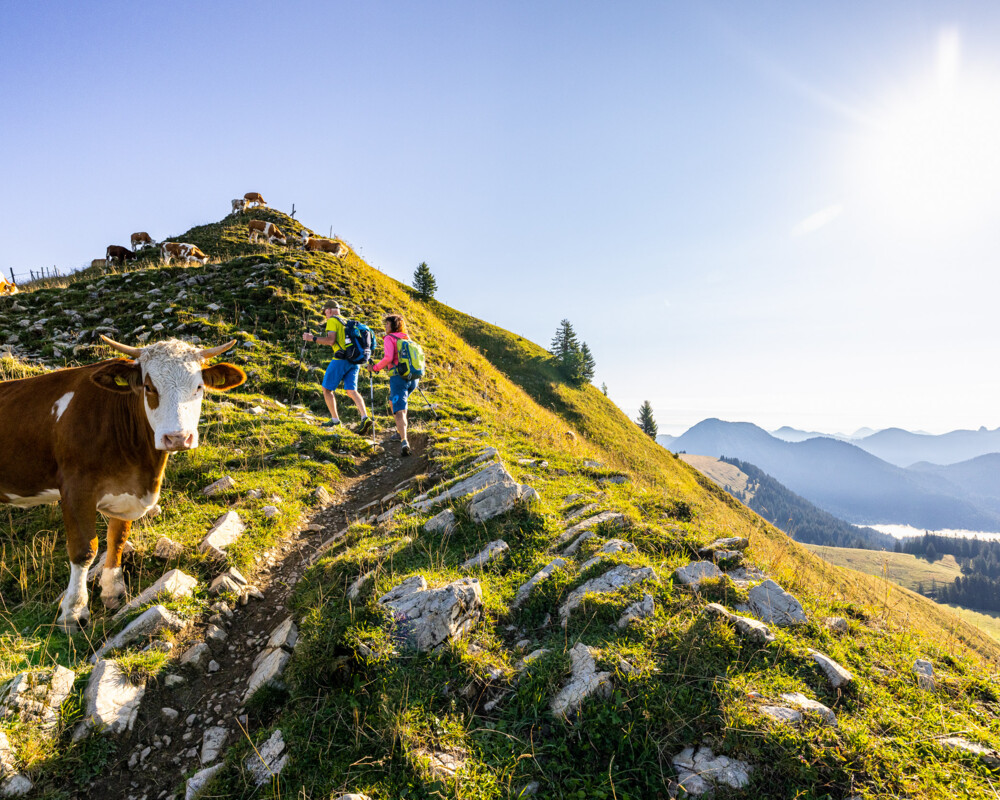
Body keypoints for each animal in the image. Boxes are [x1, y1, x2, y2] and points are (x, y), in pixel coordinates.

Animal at [0, 338, 246, 632]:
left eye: (198, 387)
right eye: (149, 387)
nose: (177, 438)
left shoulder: (128, 492)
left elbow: (117, 538)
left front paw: (112, 591)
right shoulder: (75, 489)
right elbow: (84, 550)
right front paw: (74, 612)